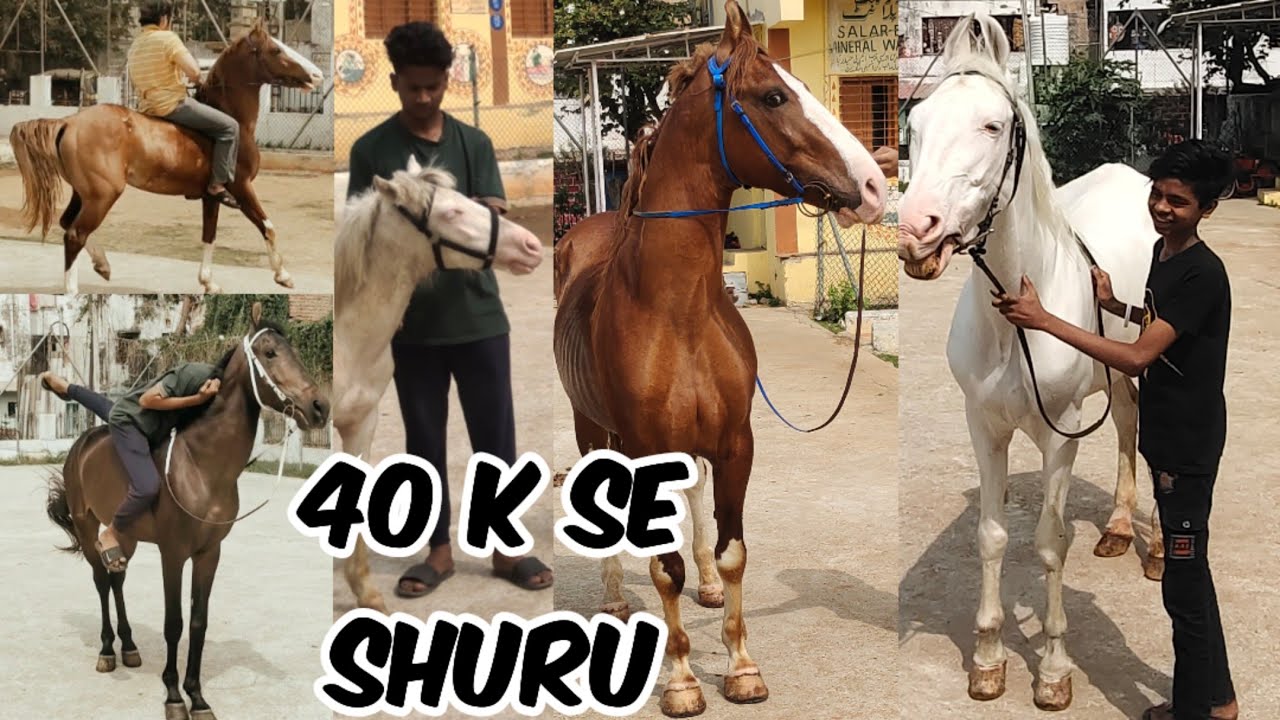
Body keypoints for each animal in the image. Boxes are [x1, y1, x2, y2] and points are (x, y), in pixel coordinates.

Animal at [9, 19, 324, 295]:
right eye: (276, 50)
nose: (318, 75)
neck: (233, 118)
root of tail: (69, 122)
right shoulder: (241, 188)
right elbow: (268, 228)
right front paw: (283, 276)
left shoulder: (212, 197)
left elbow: (210, 235)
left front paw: (208, 283)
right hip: (103, 195)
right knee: (75, 234)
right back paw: (73, 289)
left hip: (84, 193)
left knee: (67, 224)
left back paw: (103, 265)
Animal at [44, 302, 330, 720]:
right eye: (270, 353)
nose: (320, 407)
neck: (200, 465)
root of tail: (83, 442)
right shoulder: (174, 554)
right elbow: (174, 624)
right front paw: (174, 696)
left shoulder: (209, 553)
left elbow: (198, 622)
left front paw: (197, 697)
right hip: (85, 522)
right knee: (101, 581)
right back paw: (108, 650)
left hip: (126, 535)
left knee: (117, 579)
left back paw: (129, 647)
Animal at [552, 1, 886, 715]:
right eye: (773, 96)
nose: (873, 184)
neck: (675, 310)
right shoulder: (645, 446)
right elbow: (663, 567)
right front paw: (681, 680)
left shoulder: (736, 442)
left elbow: (731, 551)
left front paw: (740, 665)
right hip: (592, 426)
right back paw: (615, 598)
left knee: (693, 497)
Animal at [896, 14, 1163, 710]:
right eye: (918, 122)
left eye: (992, 126)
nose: (915, 232)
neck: (1016, 319)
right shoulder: (984, 426)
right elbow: (991, 537)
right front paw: (990, 657)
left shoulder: (1059, 433)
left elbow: (1048, 542)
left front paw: (1053, 669)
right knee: (1127, 424)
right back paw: (1118, 528)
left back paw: (1154, 546)